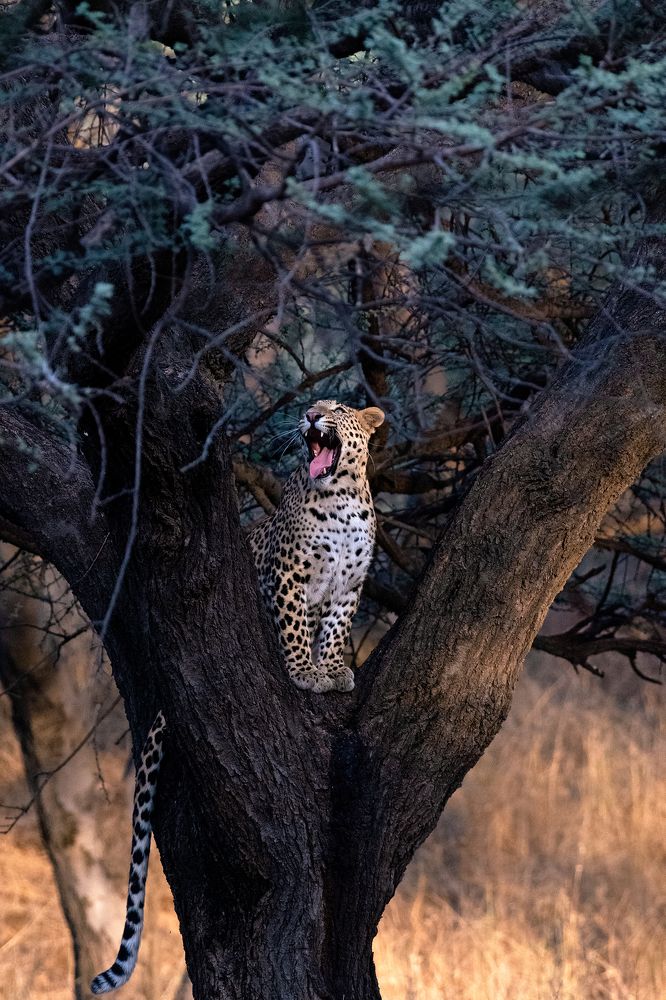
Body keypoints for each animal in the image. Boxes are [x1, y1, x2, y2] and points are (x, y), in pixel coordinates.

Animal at [90, 399, 384, 994]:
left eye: (337, 408)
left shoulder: (347, 589)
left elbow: (336, 630)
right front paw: (302, 672)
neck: (341, 498)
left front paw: (333, 672)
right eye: (316, 406)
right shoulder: (291, 576)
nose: (310, 414)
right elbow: (295, 629)